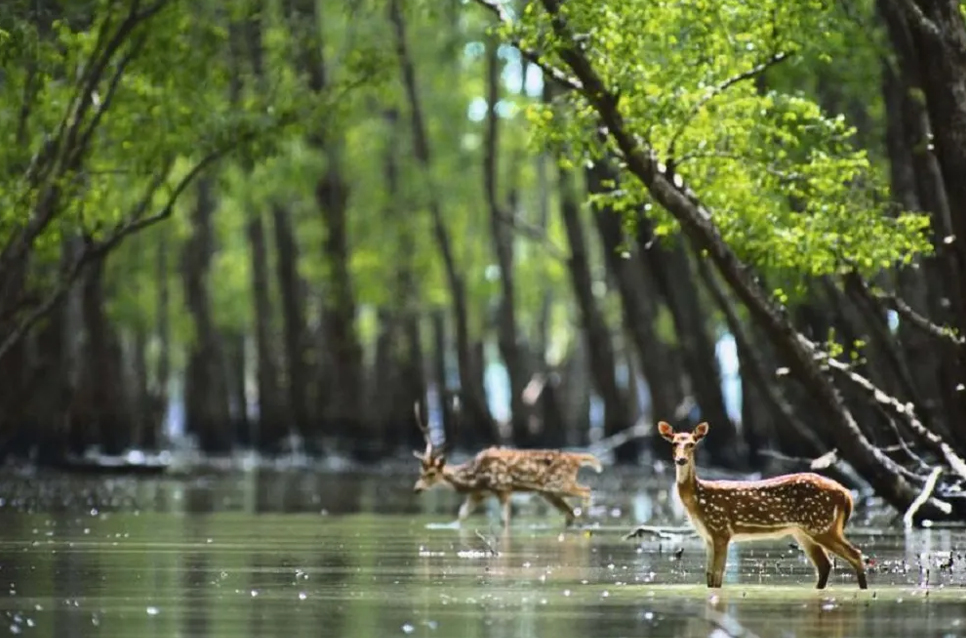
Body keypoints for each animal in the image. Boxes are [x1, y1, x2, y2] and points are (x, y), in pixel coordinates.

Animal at [410, 404, 604, 528]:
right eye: (420, 471)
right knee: (569, 512)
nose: (417, 489)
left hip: (559, 484)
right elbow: (461, 515)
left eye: (432, 473)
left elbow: (504, 521)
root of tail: (576, 458)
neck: (474, 477)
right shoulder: (478, 493)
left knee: (586, 491)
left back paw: (587, 518)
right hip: (549, 492)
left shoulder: (503, 488)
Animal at [656, 422, 868, 592]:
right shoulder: (708, 536)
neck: (698, 499)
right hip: (805, 531)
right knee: (825, 565)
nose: (681, 460)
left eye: (692, 444)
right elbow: (709, 577)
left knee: (855, 555)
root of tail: (846, 494)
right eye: (674, 443)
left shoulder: (721, 529)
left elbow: (717, 576)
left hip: (822, 525)